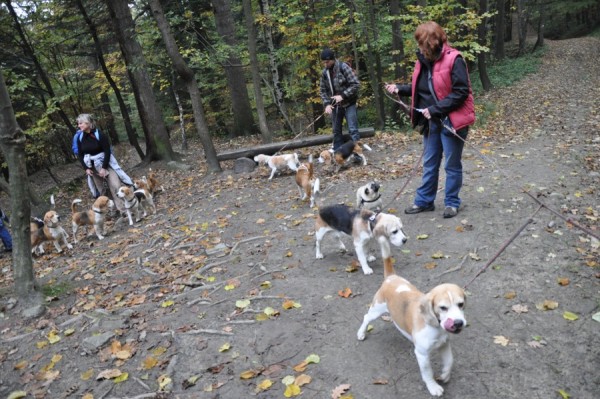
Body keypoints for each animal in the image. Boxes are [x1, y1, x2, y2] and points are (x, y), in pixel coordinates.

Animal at [356, 266, 468, 396]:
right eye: (443, 308)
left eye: (461, 304)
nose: (458, 323)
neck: (436, 326)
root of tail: (391, 277)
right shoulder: (422, 354)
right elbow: (428, 373)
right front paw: (433, 387)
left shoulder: (444, 344)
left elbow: (450, 361)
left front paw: (445, 374)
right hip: (376, 309)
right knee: (366, 317)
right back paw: (361, 333)